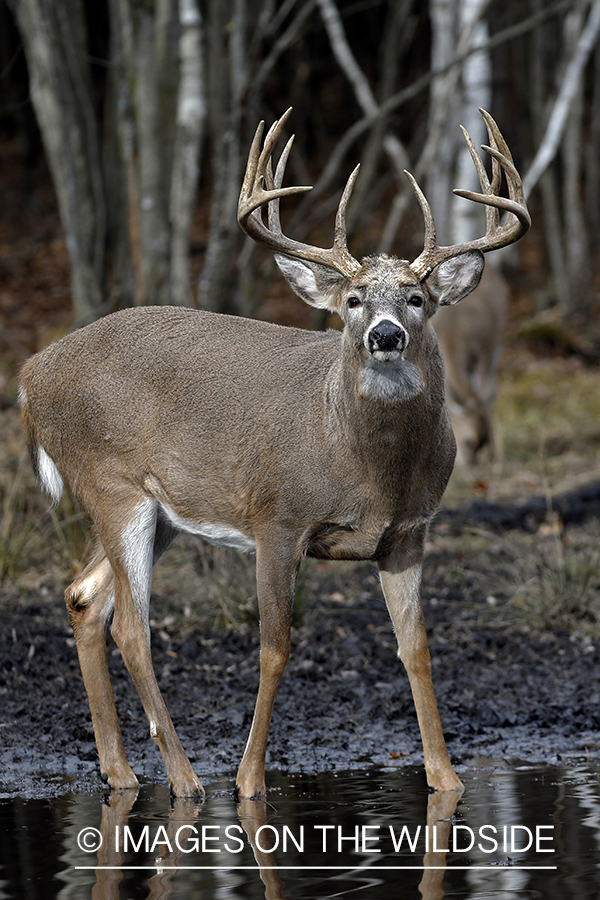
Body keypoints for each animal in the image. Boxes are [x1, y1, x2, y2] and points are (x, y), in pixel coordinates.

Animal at [16, 109, 528, 800]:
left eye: (417, 298)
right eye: (353, 300)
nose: (384, 335)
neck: (365, 469)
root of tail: (30, 375)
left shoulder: (408, 533)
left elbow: (416, 648)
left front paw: (445, 779)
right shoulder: (277, 518)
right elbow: (275, 648)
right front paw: (249, 781)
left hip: (157, 512)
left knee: (83, 597)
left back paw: (120, 773)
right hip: (111, 484)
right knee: (130, 626)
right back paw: (186, 781)